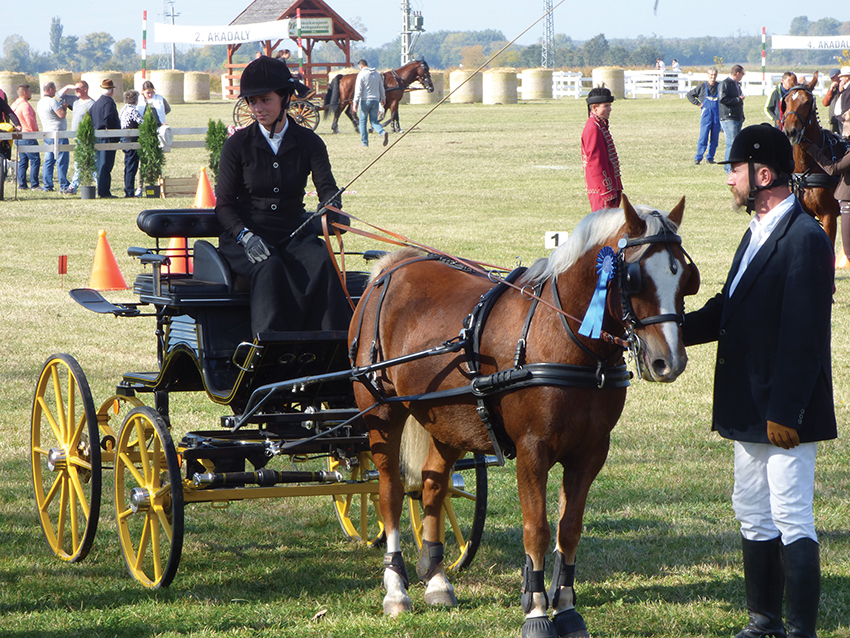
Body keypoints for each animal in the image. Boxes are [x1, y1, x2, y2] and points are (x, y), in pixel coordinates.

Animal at [348, 196, 700, 638]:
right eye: (635, 278)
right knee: (391, 492)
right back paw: (396, 589)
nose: (668, 361)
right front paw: (536, 611)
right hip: (382, 414)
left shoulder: (590, 452)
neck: (566, 336)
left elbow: (569, 529)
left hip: (443, 419)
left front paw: (565, 607)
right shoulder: (533, 450)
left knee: (432, 486)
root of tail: (391, 266)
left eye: (685, 276)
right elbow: (537, 529)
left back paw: (437, 579)